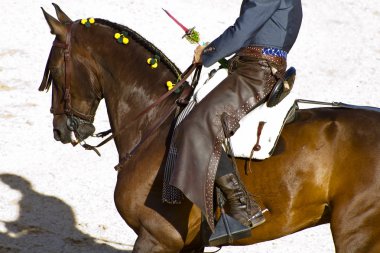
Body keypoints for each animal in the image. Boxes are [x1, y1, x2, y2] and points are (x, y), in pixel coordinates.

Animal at [38, 4, 380, 253]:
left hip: (355, 232)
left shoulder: (155, 238)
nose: (60, 130)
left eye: (54, 70)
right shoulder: (188, 245)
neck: (153, 125)